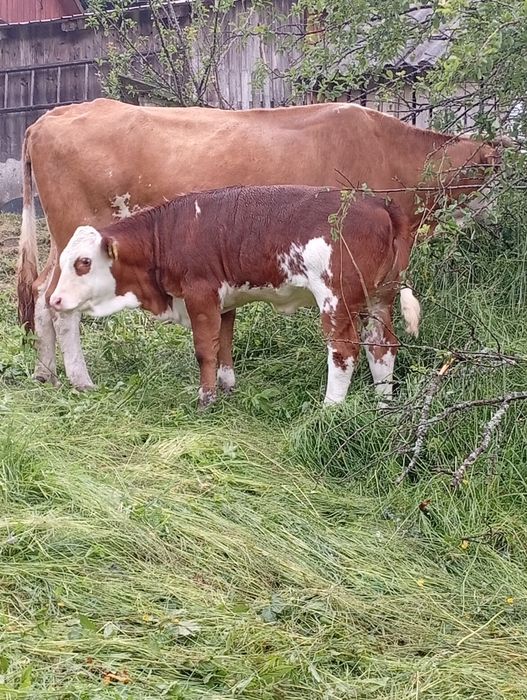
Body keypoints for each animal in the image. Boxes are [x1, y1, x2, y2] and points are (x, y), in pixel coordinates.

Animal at [48, 185, 420, 407]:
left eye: (83, 262)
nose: (54, 300)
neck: (167, 233)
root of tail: (378, 203)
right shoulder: (224, 302)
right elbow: (223, 345)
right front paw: (227, 387)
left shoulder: (200, 295)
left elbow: (204, 351)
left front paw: (206, 398)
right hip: (379, 296)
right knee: (382, 346)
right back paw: (384, 404)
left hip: (336, 300)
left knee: (344, 351)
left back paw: (330, 409)